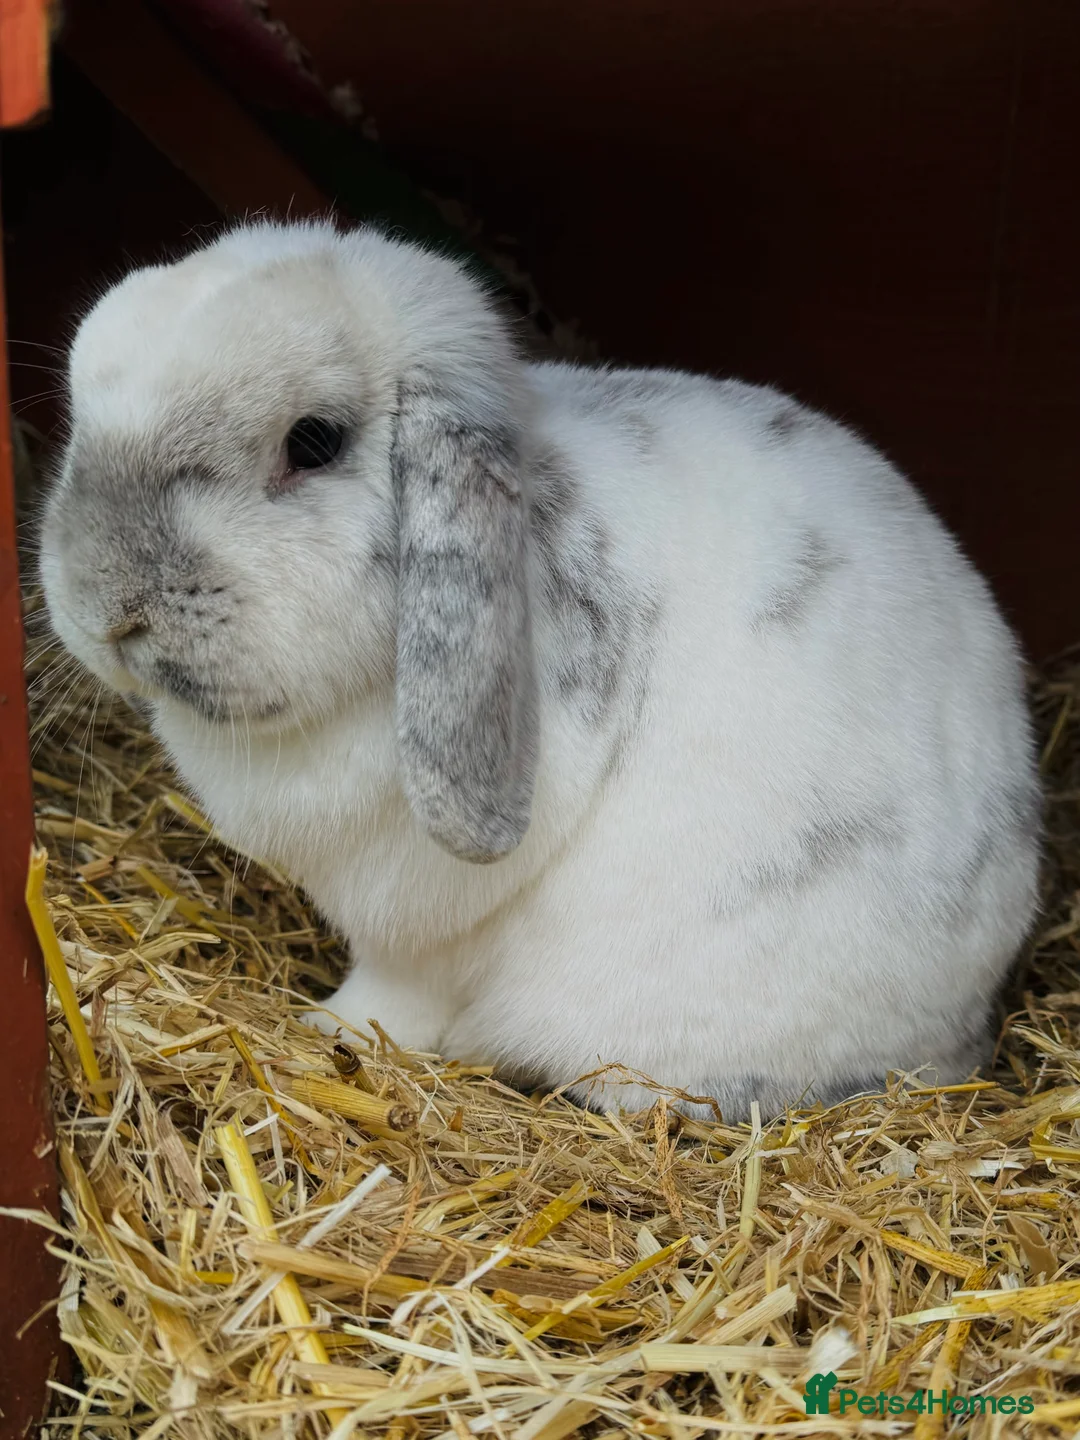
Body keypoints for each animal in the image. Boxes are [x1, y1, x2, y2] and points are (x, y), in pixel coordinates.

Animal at [38, 218, 1041, 1122]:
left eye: (313, 442)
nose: (105, 606)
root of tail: (965, 1036)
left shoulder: (422, 930)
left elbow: (395, 997)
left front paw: (331, 1028)